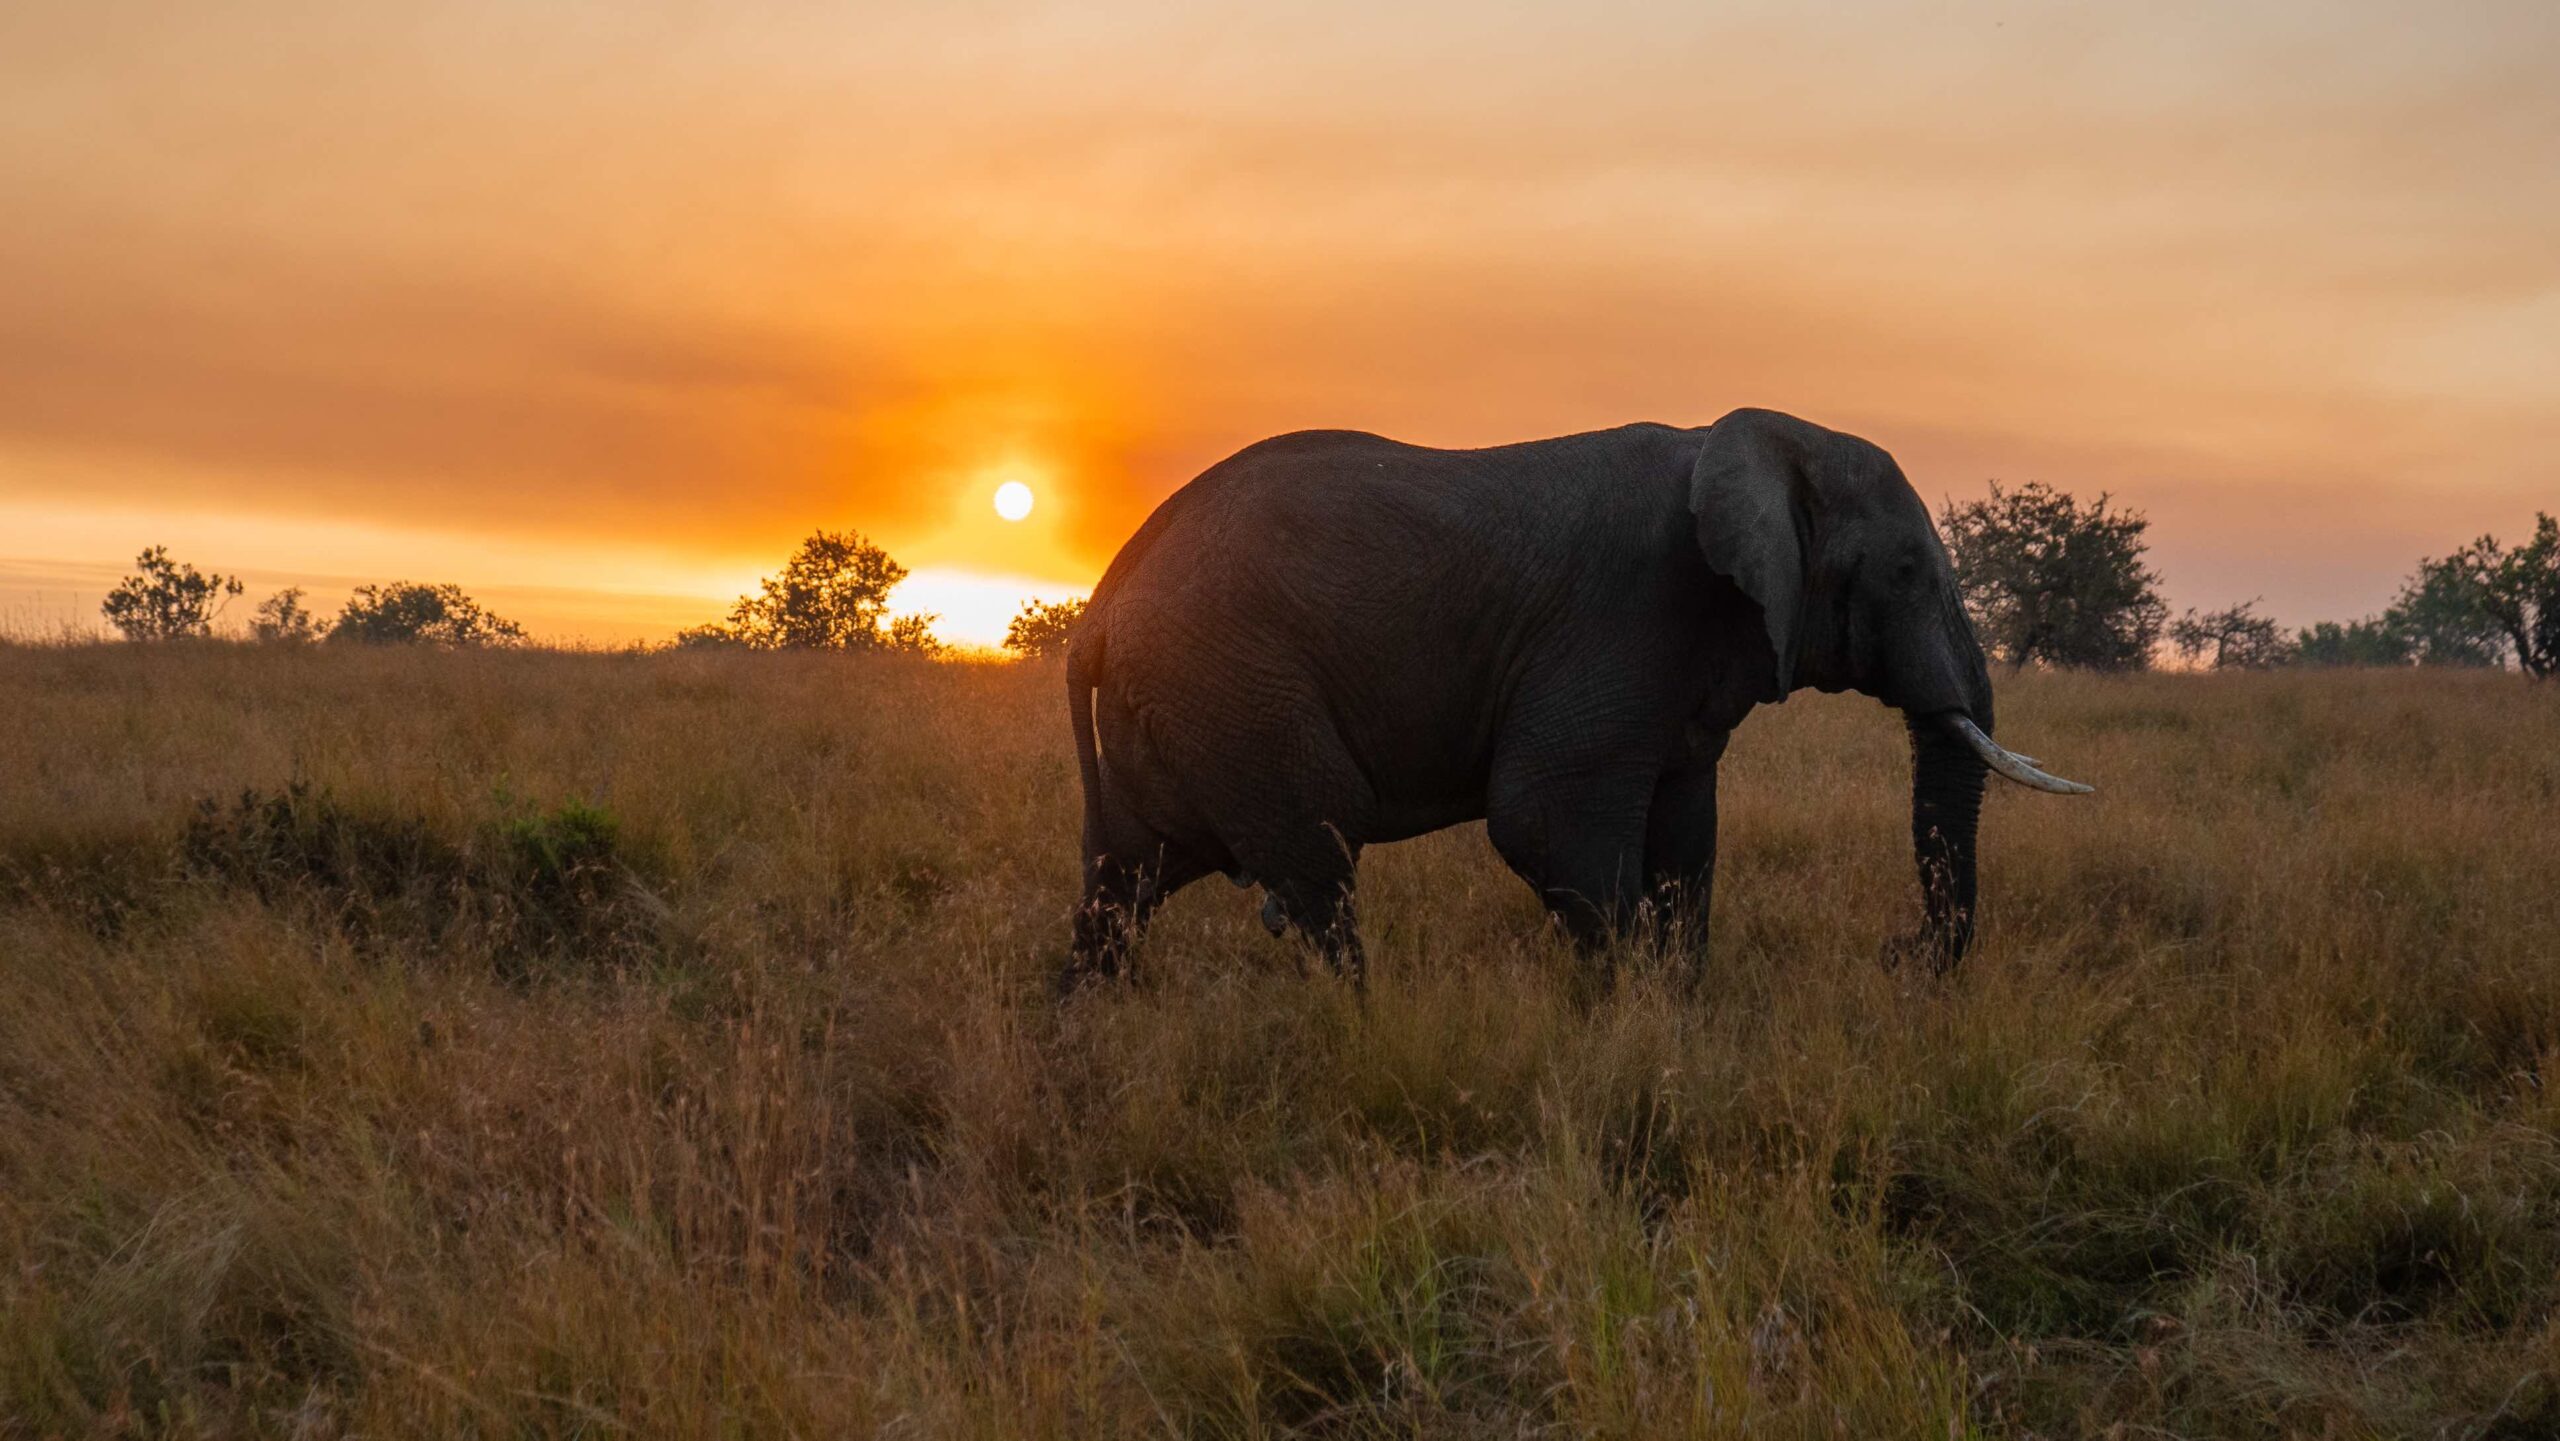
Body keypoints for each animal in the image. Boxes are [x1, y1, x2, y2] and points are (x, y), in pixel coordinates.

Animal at [1054, 406, 2078, 993]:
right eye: (1905, 570)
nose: (1897, 955)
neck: (1767, 441)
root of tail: (1100, 608)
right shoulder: (1623, 614)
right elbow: (1544, 818)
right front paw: (1627, 1027)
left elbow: (1685, 839)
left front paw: (1678, 1020)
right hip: (1235, 688)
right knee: (1317, 864)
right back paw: (1356, 1029)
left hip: (1185, 707)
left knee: (1125, 881)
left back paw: (1083, 1033)